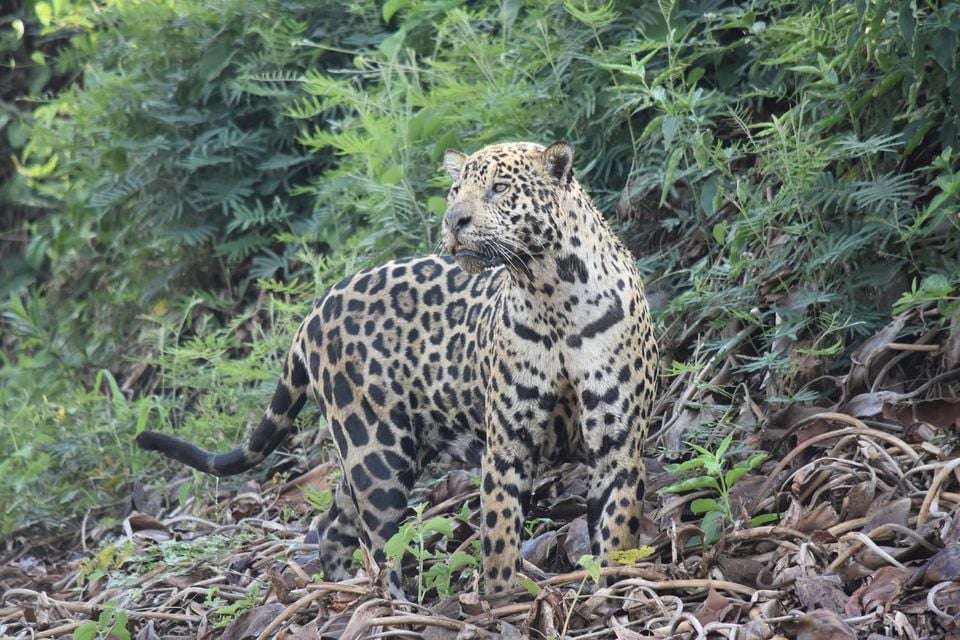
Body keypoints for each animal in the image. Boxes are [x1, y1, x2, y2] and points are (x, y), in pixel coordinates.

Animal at [136, 141, 659, 595]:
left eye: (498, 189)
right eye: (456, 190)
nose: (454, 219)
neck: (549, 293)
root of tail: (314, 309)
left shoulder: (618, 445)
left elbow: (617, 532)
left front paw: (614, 586)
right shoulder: (507, 447)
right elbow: (499, 534)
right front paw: (501, 599)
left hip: (385, 453)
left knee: (334, 523)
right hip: (376, 454)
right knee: (379, 543)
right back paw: (393, 606)